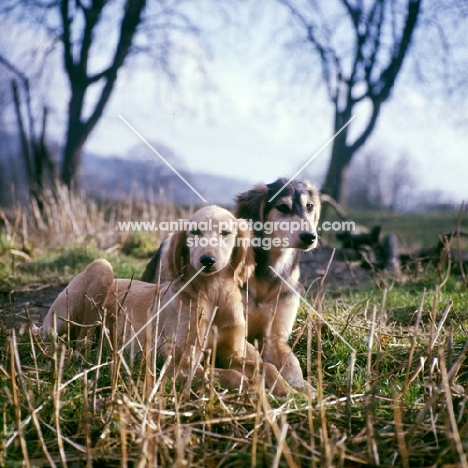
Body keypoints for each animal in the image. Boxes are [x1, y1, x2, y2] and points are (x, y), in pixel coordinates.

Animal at [234, 177, 322, 390]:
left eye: (309, 207)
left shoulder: (275, 337)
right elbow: (262, 363)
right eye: (282, 207)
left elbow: (292, 362)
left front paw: (303, 387)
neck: (270, 272)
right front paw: (282, 386)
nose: (310, 237)